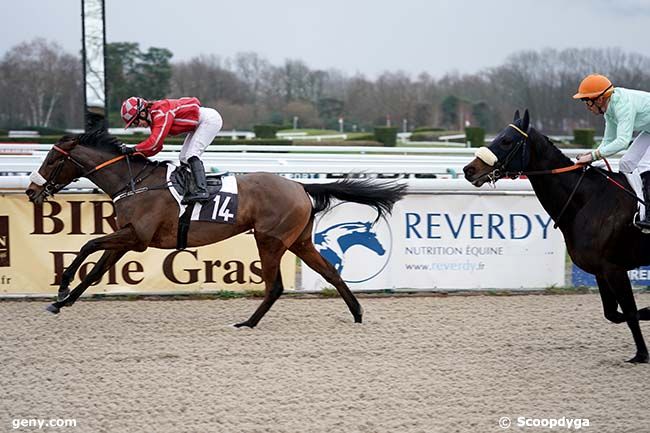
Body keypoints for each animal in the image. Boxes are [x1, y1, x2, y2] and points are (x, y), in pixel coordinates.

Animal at [25, 130, 404, 326]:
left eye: (51, 159)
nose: (31, 191)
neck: (134, 183)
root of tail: (300, 185)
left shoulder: (138, 237)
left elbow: (88, 246)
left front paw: (61, 287)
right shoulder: (128, 239)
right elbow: (95, 270)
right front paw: (61, 302)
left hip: (270, 240)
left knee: (276, 285)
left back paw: (248, 323)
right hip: (299, 242)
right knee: (331, 273)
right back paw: (356, 313)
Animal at [460, 109, 648, 362]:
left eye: (506, 140)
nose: (469, 170)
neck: (588, 199)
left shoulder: (614, 269)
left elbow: (629, 312)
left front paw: (641, 353)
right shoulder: (601, 270)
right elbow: (613, 313)